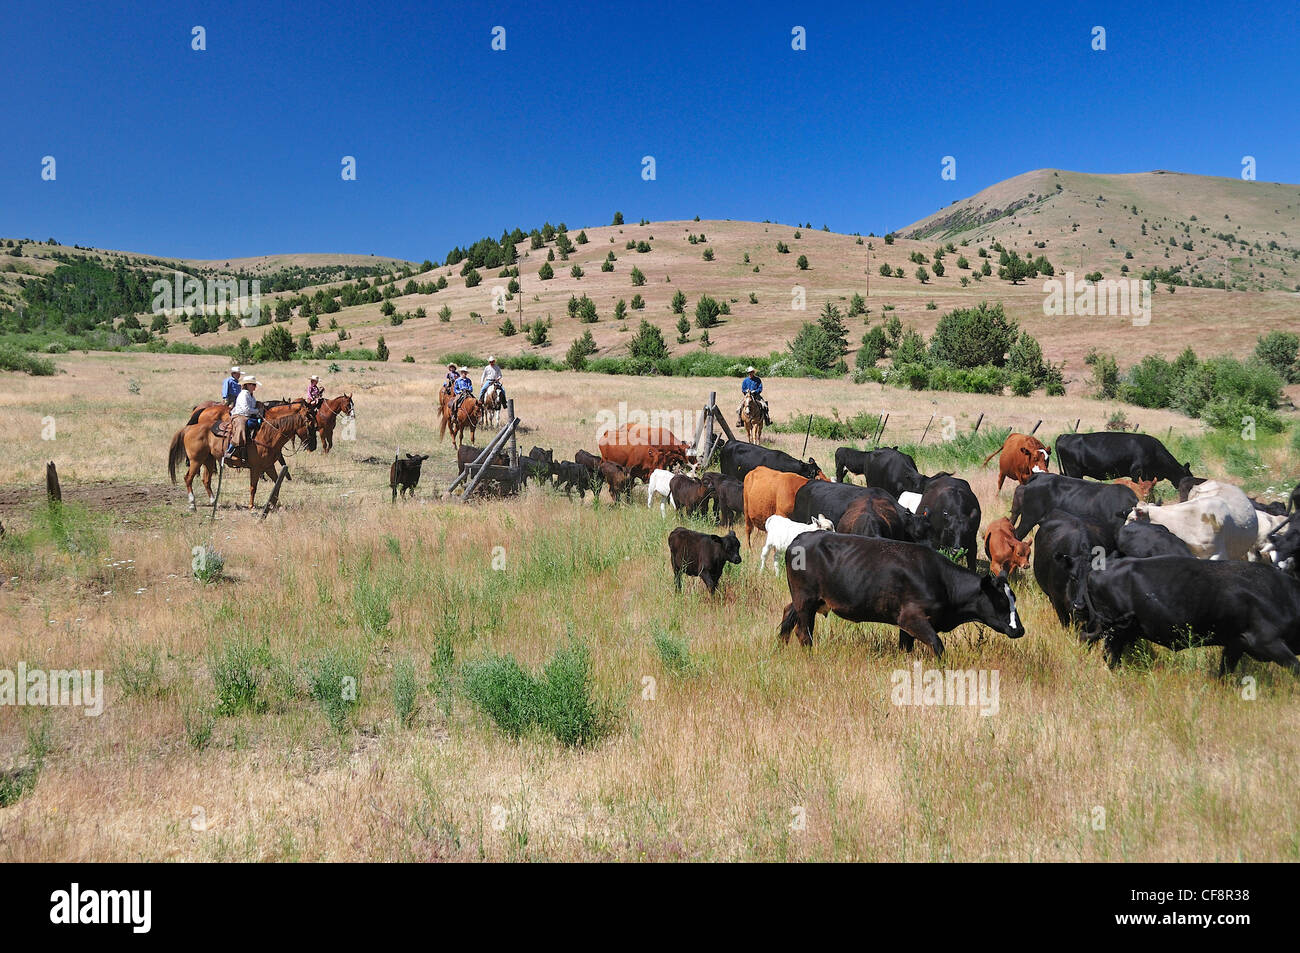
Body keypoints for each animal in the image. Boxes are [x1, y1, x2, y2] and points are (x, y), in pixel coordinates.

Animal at [778, 534, 1025, 654]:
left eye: (1014, 599)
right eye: (1000, 601)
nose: (1019, 630)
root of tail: (799, 539)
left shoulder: (905, 624)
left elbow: (905, 648)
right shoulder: (911, 618)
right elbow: (937, 645)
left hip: (803, 600)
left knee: (788, 615)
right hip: (806, 600)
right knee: (803, 633)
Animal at [1080, 557, 1300, 674]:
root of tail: (1097, 569)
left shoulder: (1236, 644)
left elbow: (1225, 672)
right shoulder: (1267, 641)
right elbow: (1296, 667)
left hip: (1114, 628)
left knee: (1088, 639)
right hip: (1114, 629)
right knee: (1108, 654)